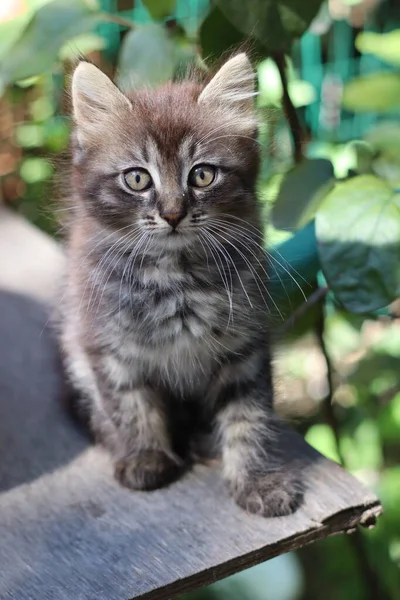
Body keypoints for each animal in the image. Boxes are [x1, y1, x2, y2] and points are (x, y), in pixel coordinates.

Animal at [60, 54, 300, 516]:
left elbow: (249, 418)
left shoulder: (244, 348)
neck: (175, 277)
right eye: (137, 179)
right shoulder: (106, 345)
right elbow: (130, 406)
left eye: (202, 175)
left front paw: (255, 479)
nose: (172, 214)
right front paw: (146, 458)